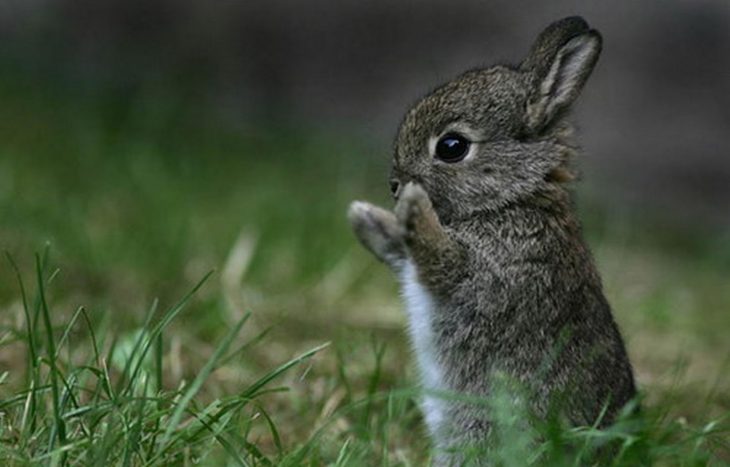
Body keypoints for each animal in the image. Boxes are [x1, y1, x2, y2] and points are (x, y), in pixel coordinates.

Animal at [346, 17, 632, 460]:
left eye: (452, 146)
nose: (395, 185)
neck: (511, 200)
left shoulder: (488, 276)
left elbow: (440, 259)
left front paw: (413, 207)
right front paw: (365, 217)